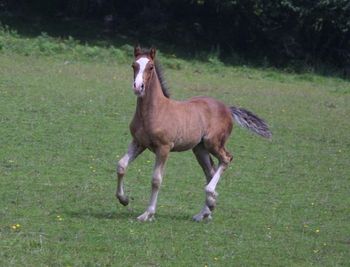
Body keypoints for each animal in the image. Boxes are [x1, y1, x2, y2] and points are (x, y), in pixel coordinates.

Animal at [116, 45, 272, 222]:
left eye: (150, 67)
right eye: (133, 65)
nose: (138, 87)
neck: (154, 111)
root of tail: (227, 108)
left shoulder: (164, 148)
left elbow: (156, 180)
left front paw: (147, 213)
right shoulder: (138, 142)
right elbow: (121, 166)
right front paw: (124, 199)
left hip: (213, 143)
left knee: (226, 159)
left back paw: (210, 197)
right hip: (200, 149)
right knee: (210, 172)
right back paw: (205, 211)